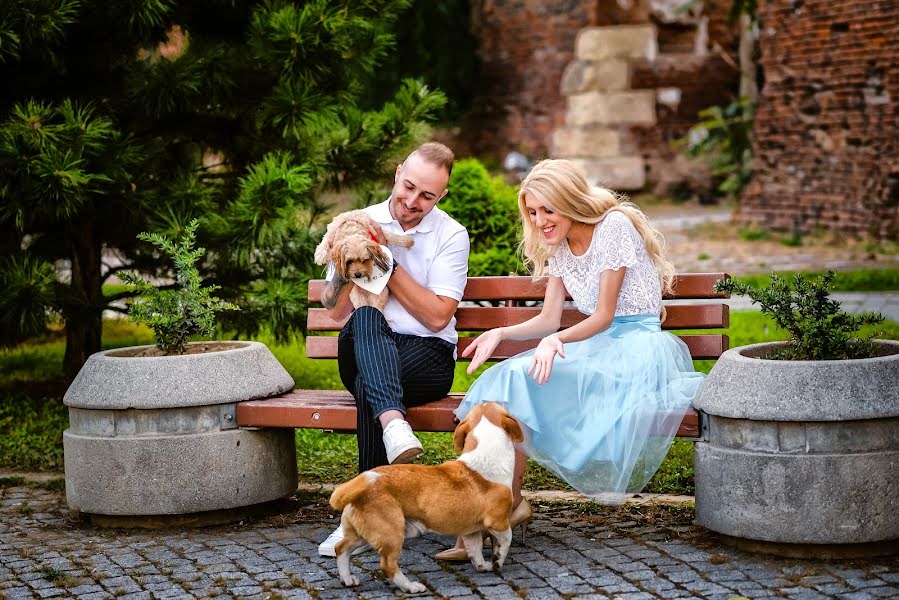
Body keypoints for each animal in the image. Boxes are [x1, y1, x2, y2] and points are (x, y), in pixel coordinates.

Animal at [330, 400, 524, 592]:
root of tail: (361, 487)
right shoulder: (498, 522)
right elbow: (506, 539)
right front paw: (497, 561)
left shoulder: (470, 531)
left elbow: (475, 550)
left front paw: (483, 566)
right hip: (392, 533)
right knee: (387, 565)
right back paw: (411, 587)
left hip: (359, 534)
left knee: (341, 548)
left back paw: (347, 579)